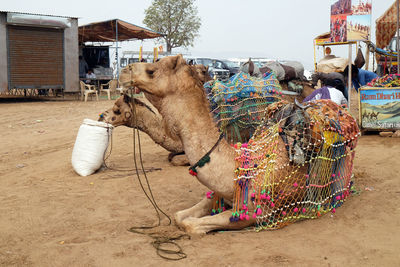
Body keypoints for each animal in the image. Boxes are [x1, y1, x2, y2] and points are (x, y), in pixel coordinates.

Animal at [116, 55, 360, 236]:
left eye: (152, 70)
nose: (124, 71)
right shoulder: (218, 194)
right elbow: (178, 217)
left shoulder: (254, 212)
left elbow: (191, 224)